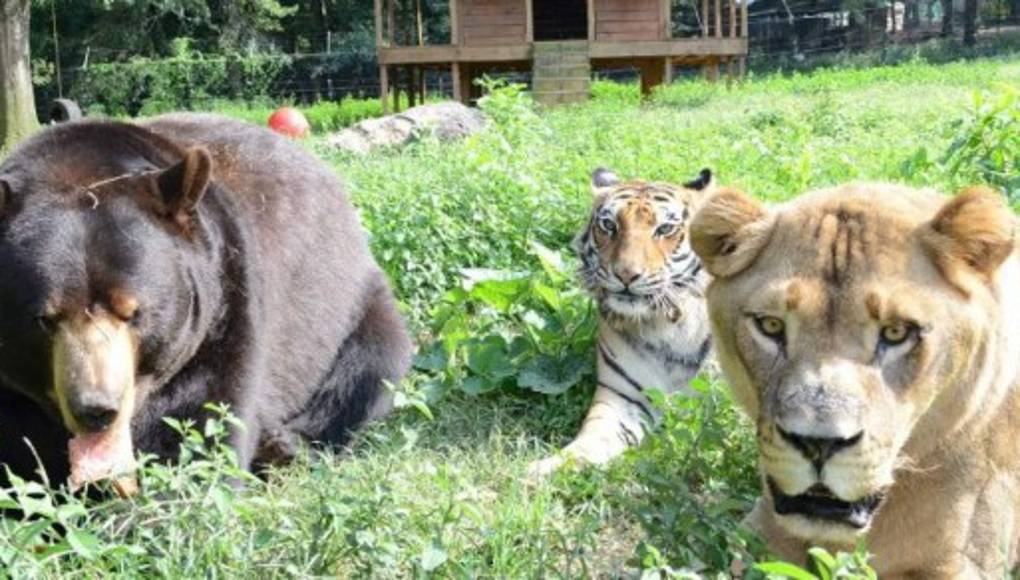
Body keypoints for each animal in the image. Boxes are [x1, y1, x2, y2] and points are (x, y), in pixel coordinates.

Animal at [0, 113, 412, 490]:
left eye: (133, 313)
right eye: (45, 319)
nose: (97, 410)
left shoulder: (225, 307)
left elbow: (200, 427)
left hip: (351, 306)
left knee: (370, 369)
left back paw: (284, 446)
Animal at [529, 167, 715, 477]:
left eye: (665, 229)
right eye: (608, 225)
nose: (626, 274)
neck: (669, 326)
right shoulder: (624, 398)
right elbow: (592, 440)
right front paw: (544, 469)